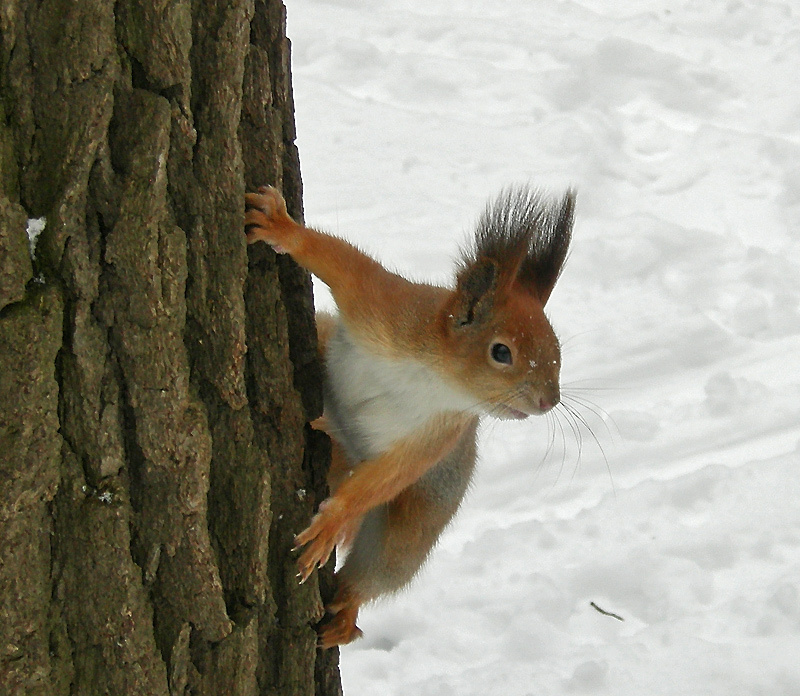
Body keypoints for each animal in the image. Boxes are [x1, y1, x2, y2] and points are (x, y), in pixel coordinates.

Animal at [244, 184, 575, 649]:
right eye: (501, 352)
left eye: (556, 350)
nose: (549, 400)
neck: (438, 379)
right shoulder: (385, 308)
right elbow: (342, 263)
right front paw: (282, 228)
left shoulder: (437, 437)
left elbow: (390, 474)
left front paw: (332, 521)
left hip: (416, 522)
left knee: (377, 571)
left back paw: (345, 613)